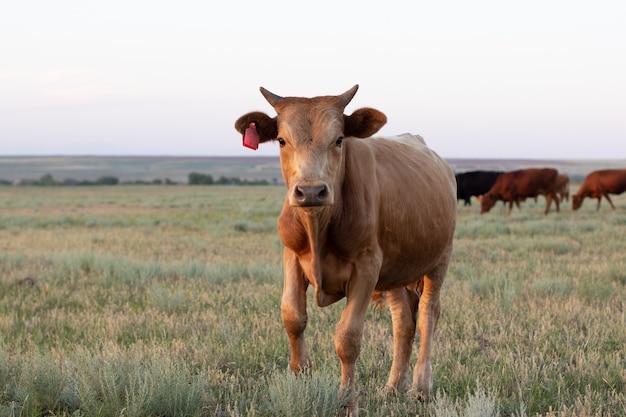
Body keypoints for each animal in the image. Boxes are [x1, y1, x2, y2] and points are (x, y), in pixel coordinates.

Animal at [233, 83, 454, 412]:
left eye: (339, 140)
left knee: (428, 316)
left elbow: (348, 338)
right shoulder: (292, 257)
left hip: (439, 261)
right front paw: (301, 377)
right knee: (403, 323)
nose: (311, 190)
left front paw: (347, 402)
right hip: (395, 272)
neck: (319, 228)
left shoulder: (366, 266)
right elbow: (293, 317)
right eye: (282, 140)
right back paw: (392, 387)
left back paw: (420, 388)